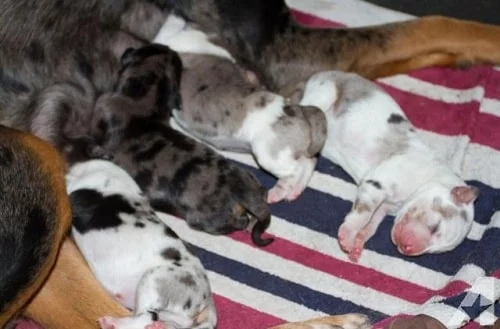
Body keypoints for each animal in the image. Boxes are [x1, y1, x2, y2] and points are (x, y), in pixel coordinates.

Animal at [92, 43, 276, 246]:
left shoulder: (102, 105)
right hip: (251, 179)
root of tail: (243, 189)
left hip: (205, 219)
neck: (143, 99)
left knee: (237, 222)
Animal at [155, 15, 328, 204]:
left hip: (269, 154)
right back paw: (293, 190)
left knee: (297, 168)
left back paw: (279, 191)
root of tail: (301, 110)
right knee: (309, 162)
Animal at [298, 71, 478, 262]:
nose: (407, 249)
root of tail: (321, 74)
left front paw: (359, 241)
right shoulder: (377, 184)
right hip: (325, 91)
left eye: (436, 251)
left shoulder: (384, 207)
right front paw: (349, 233)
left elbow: (372, 223)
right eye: (435, 227)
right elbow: (364, 214)